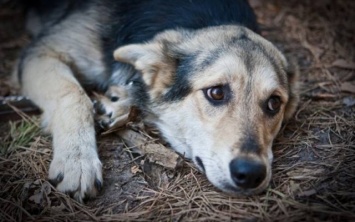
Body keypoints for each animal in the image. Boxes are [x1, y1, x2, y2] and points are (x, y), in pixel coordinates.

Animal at [13, 0, 298, 202]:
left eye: (274, 103)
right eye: (216, 93)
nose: (251, 174)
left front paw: (121, 101)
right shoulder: (41, 52)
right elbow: (74, 95)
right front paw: (77, 159)